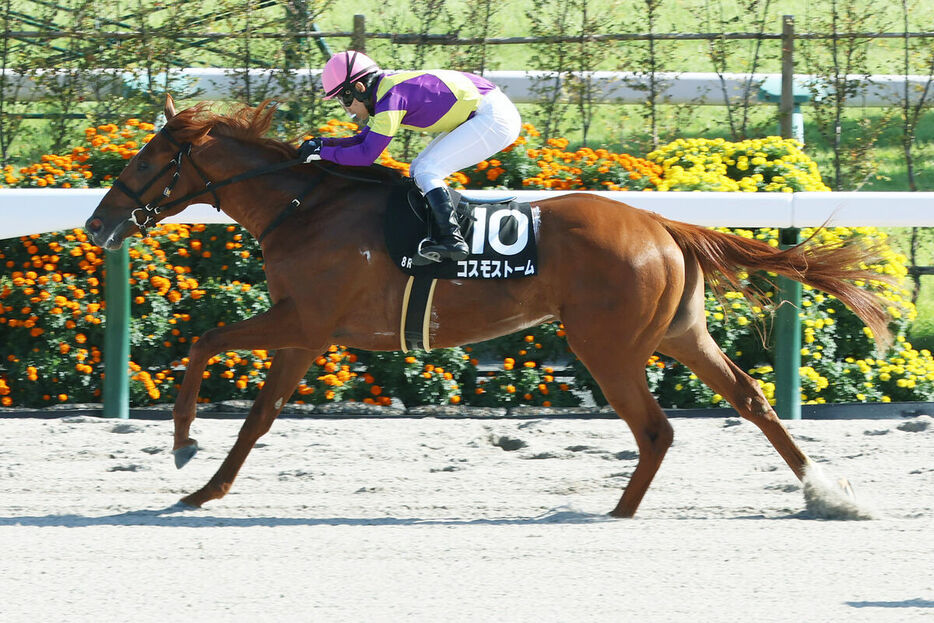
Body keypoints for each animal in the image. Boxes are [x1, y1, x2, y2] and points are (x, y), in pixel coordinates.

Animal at [82, 96, 892, 516]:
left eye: (145, 161)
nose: (96, 224)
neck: (304, 207)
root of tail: (662, 224)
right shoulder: (306, 332)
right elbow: (250, 401)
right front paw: (202, 476)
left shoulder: (305, 322)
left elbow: (211, 354)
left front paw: (189, 458)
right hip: (679, 334)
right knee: (751, 398)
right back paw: (827, 492)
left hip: (607, 344)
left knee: (657, 429)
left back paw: (619, 511)